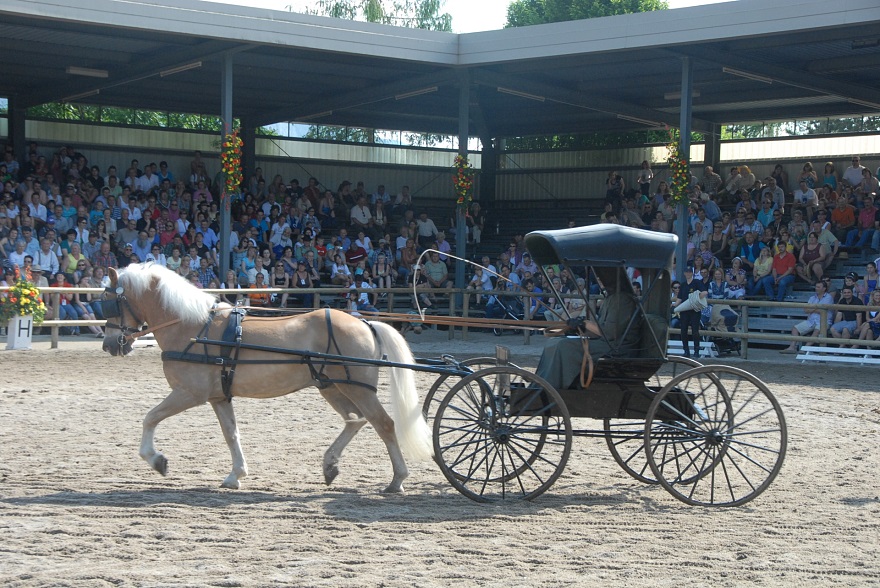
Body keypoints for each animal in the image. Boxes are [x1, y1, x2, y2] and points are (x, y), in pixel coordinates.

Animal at [101, 264, 434, 494]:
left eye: (109, 301)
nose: (109, 344)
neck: (192, 327)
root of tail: (365, 323)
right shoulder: (218, 397)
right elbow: (231, 434)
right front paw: (236, 475)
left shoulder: (189, 393)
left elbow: (150, 418)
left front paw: (156, 460)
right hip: (332, 387)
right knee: (355, 420)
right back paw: (330, 466)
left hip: (358, 389)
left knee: (384, 425)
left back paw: (397, 480)